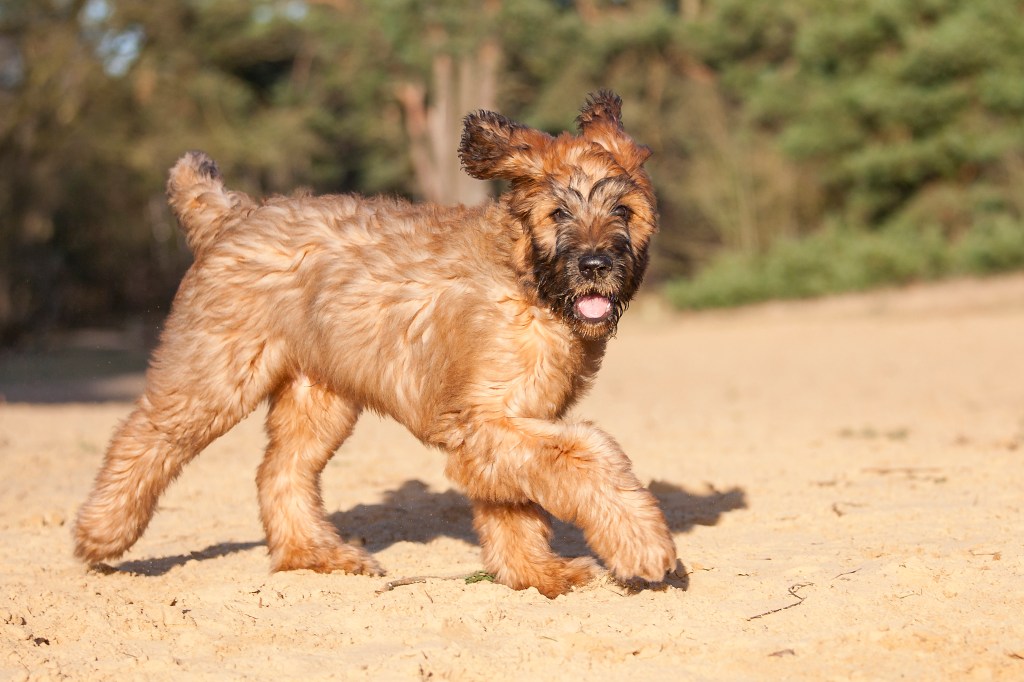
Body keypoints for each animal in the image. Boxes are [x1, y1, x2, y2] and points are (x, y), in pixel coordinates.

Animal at [74, 89, 679, 593]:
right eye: (558, 213)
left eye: (623, 210)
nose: (595, 265)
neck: (525, 281)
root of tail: (237, 215)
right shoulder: (485, 421)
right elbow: (591, 453)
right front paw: (644, 544)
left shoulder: (504, 428)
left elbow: (516, 506)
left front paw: (536, 572)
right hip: (215, 372)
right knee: (143, 436)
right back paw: (102, 533)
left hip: (319, 398)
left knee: (280, 472)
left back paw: (316, 554)